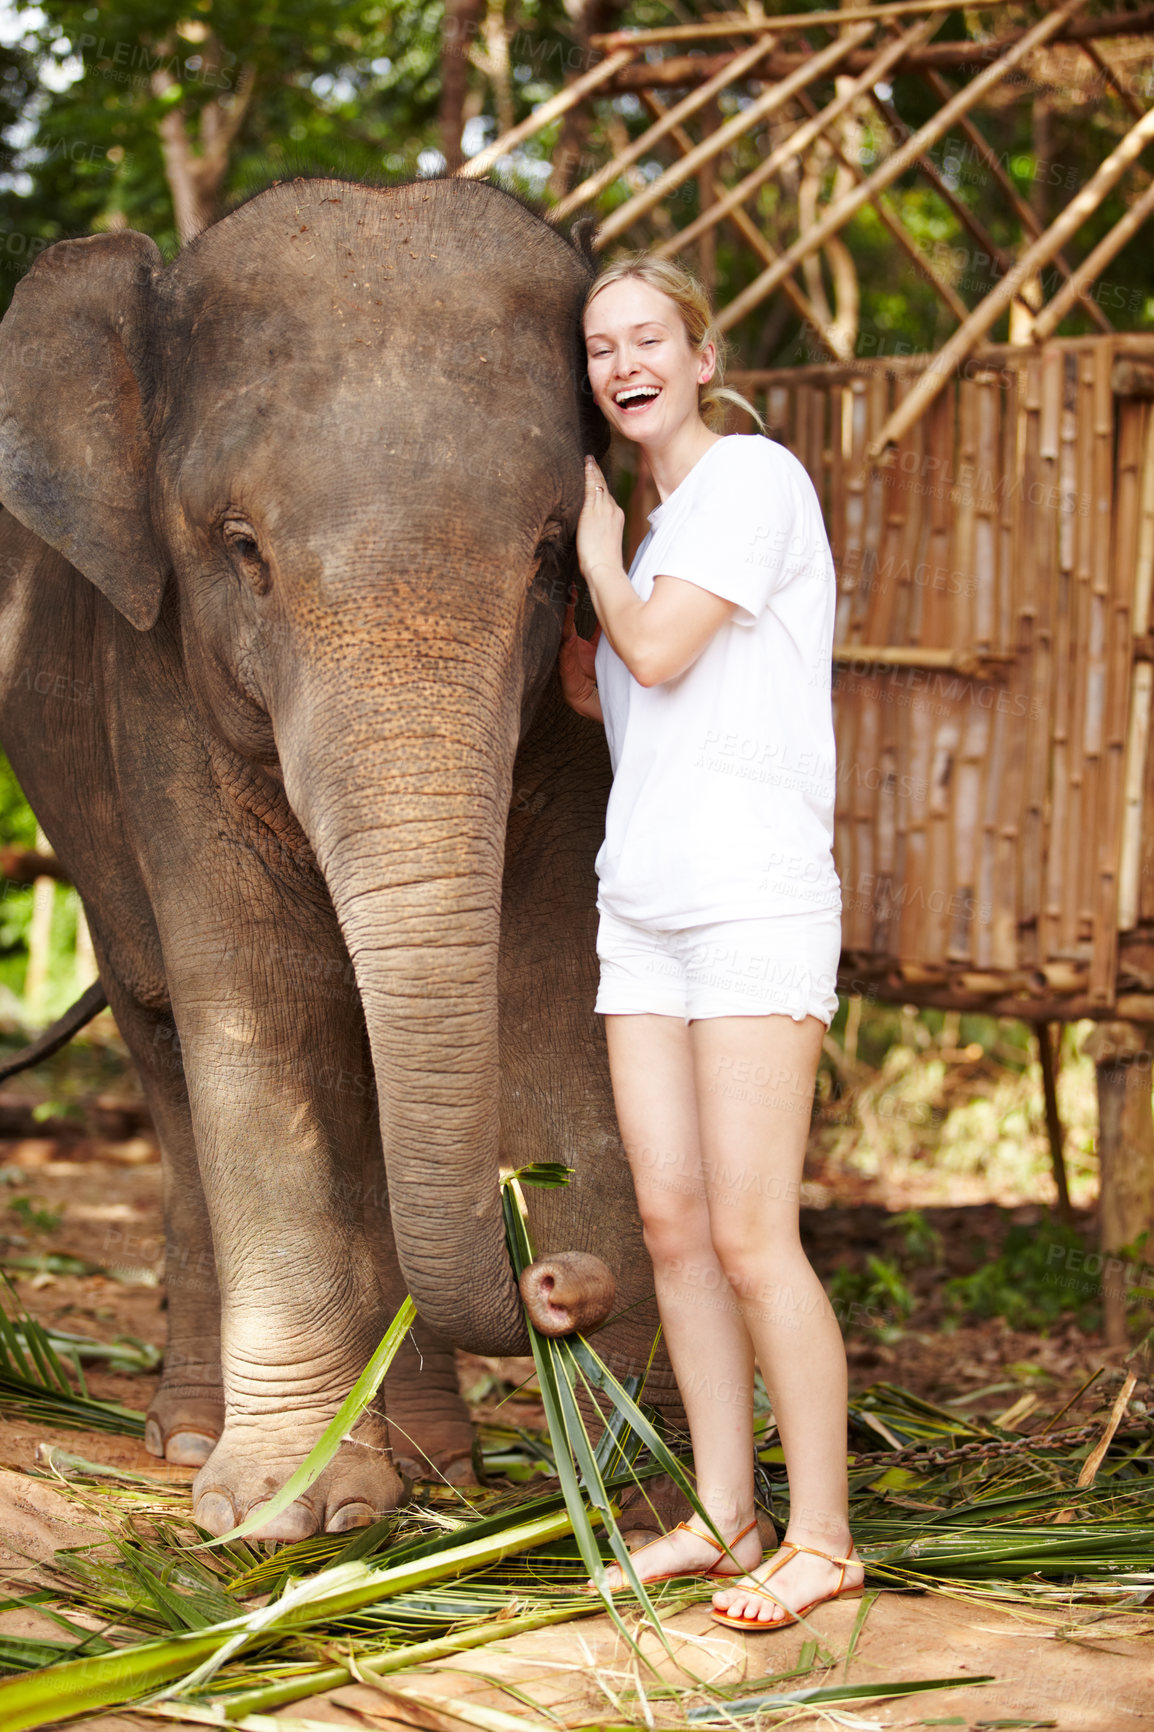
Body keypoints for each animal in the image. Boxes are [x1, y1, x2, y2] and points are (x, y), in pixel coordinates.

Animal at [0, 175, 675, 1544]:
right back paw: (199, 1440)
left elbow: (547, 984)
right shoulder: (160, 693)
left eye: (550, 552)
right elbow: (262, 997)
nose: (557, 1279)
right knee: (164, 1035)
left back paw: (428, 1466)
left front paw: (636, 1497)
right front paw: (276, 1513)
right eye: (241, 547)